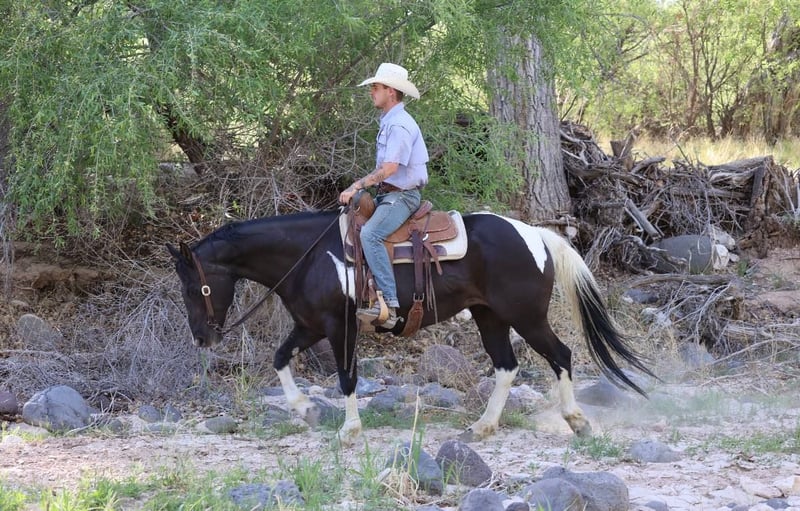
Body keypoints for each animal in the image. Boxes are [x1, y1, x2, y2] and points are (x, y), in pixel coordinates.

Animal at [167, 208, 654, 445]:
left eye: (193, 287)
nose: (203, 337)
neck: (310, 257)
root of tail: (534, 233)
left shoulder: (339, 326)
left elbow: (347, 379)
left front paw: (348, 431)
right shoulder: (309, 326)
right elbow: (280, 358)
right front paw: (304, 409)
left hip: (526, 316)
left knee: (561, 355)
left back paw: (577, 422)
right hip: (490, 317)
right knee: (506, 366)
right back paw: (482, 428)